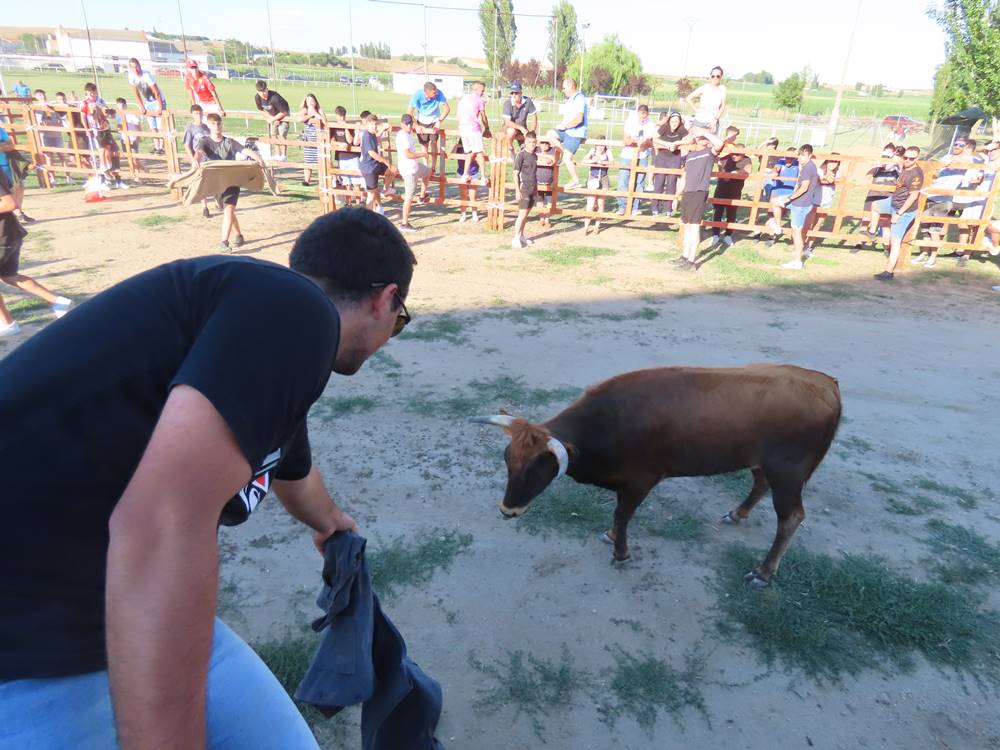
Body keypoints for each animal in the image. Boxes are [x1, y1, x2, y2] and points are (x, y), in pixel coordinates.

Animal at [472, 364, 840, 588]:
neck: (610, 423)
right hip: (765, 464)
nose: (508, 510)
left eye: (540, 467)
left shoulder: (641, 480)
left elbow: (623, 513)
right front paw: (610, 535)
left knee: (791, 517)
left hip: (788, 472)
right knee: (760, 483)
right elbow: (618, 515)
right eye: (508, 459)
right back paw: (738, 514)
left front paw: (621, 552)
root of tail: (826, 383)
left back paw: (763, 572)